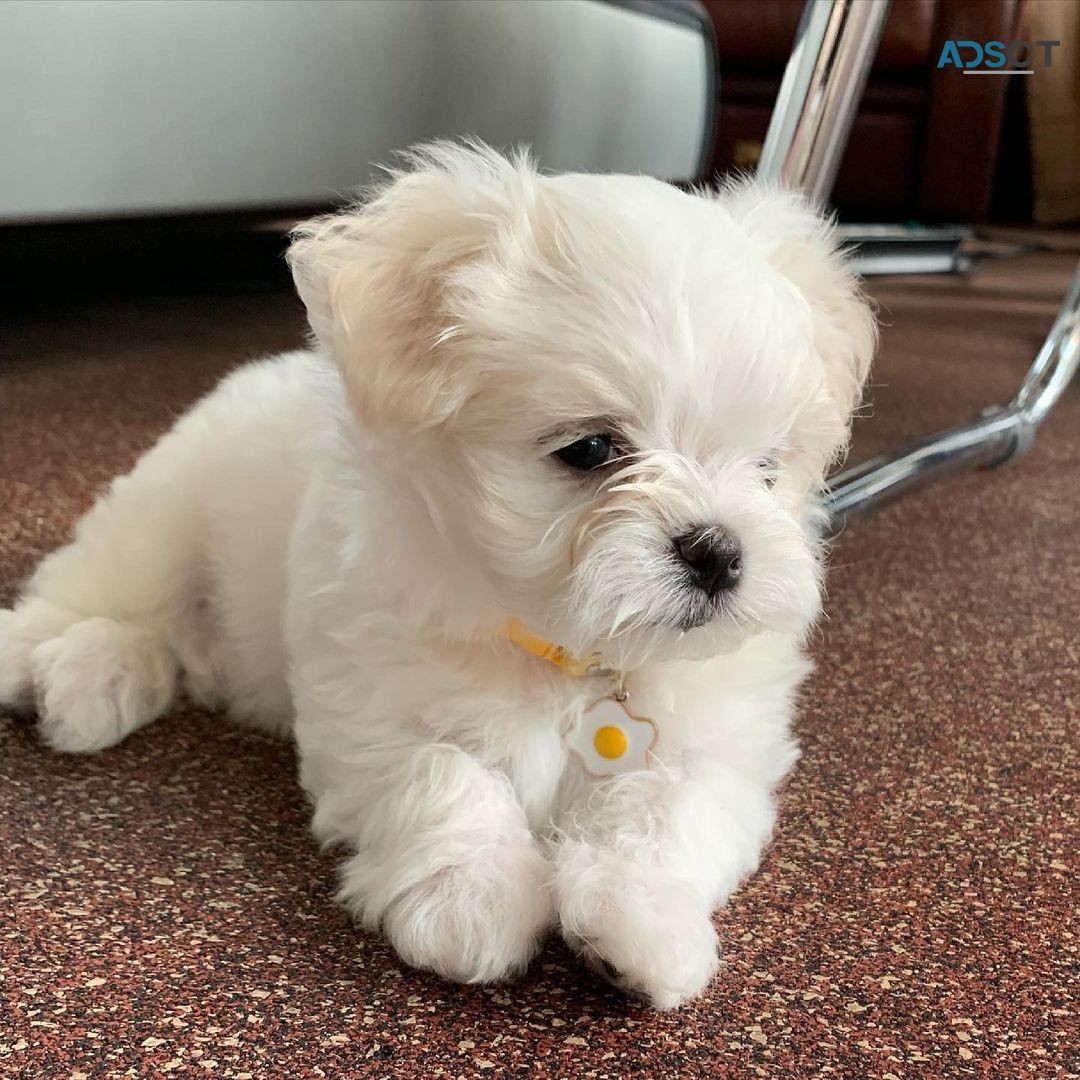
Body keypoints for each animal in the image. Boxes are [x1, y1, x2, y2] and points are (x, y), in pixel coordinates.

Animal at [0, 145, 872, 1010]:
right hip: (162, 510)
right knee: (93, 594)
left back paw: (97, 682)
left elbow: (667, 809)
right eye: (590, 449)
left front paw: (641, 926)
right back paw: (55, 666)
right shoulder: (368, 692)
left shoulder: (721, 742)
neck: (564, 656)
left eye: (767, 467)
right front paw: (475, 900)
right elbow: (442, 771)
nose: (718, 552)